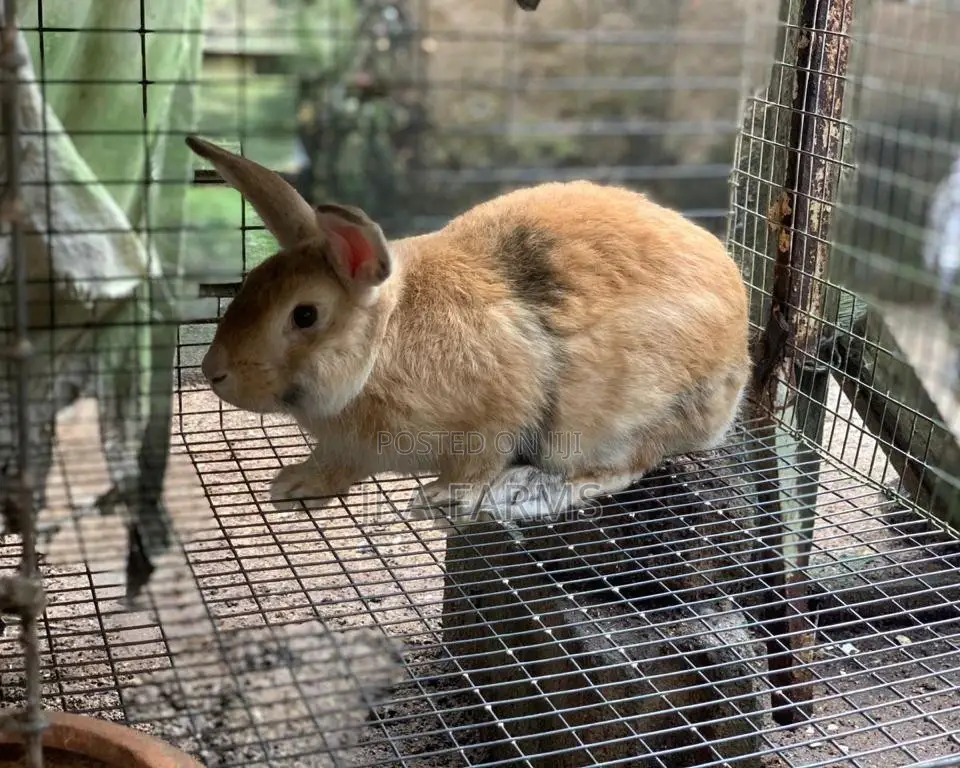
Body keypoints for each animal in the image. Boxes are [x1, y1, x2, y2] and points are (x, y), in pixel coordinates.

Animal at [185, 135, 751, 523]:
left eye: (305, 315)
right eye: (251, 282)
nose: (212, 372)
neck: (384, 342)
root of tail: (739, 358)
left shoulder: (497, 415)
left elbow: (479, 463)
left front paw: (438, 497)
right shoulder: (349, 449)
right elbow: (332, 466)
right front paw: (292, 486)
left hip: (624, 416)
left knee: (624, 466)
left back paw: (527, 491)